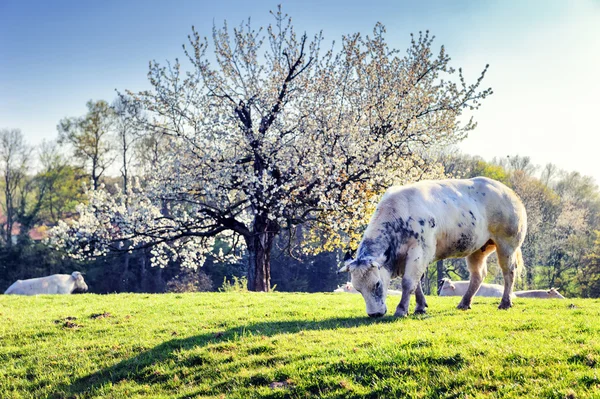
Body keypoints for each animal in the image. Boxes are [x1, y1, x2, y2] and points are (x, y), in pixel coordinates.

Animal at [340, 178, 528, 318]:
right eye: (358, 288)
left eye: (377, 284)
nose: (375, 314)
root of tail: (509, 192)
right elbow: (417, 283)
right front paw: (420, 307)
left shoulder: (420, 252)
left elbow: (408, 282)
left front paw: (401, 310)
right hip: (477, 249)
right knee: (478, 275)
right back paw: (464, 303)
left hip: (507, 244)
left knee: (509, 272)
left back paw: (505, 303)